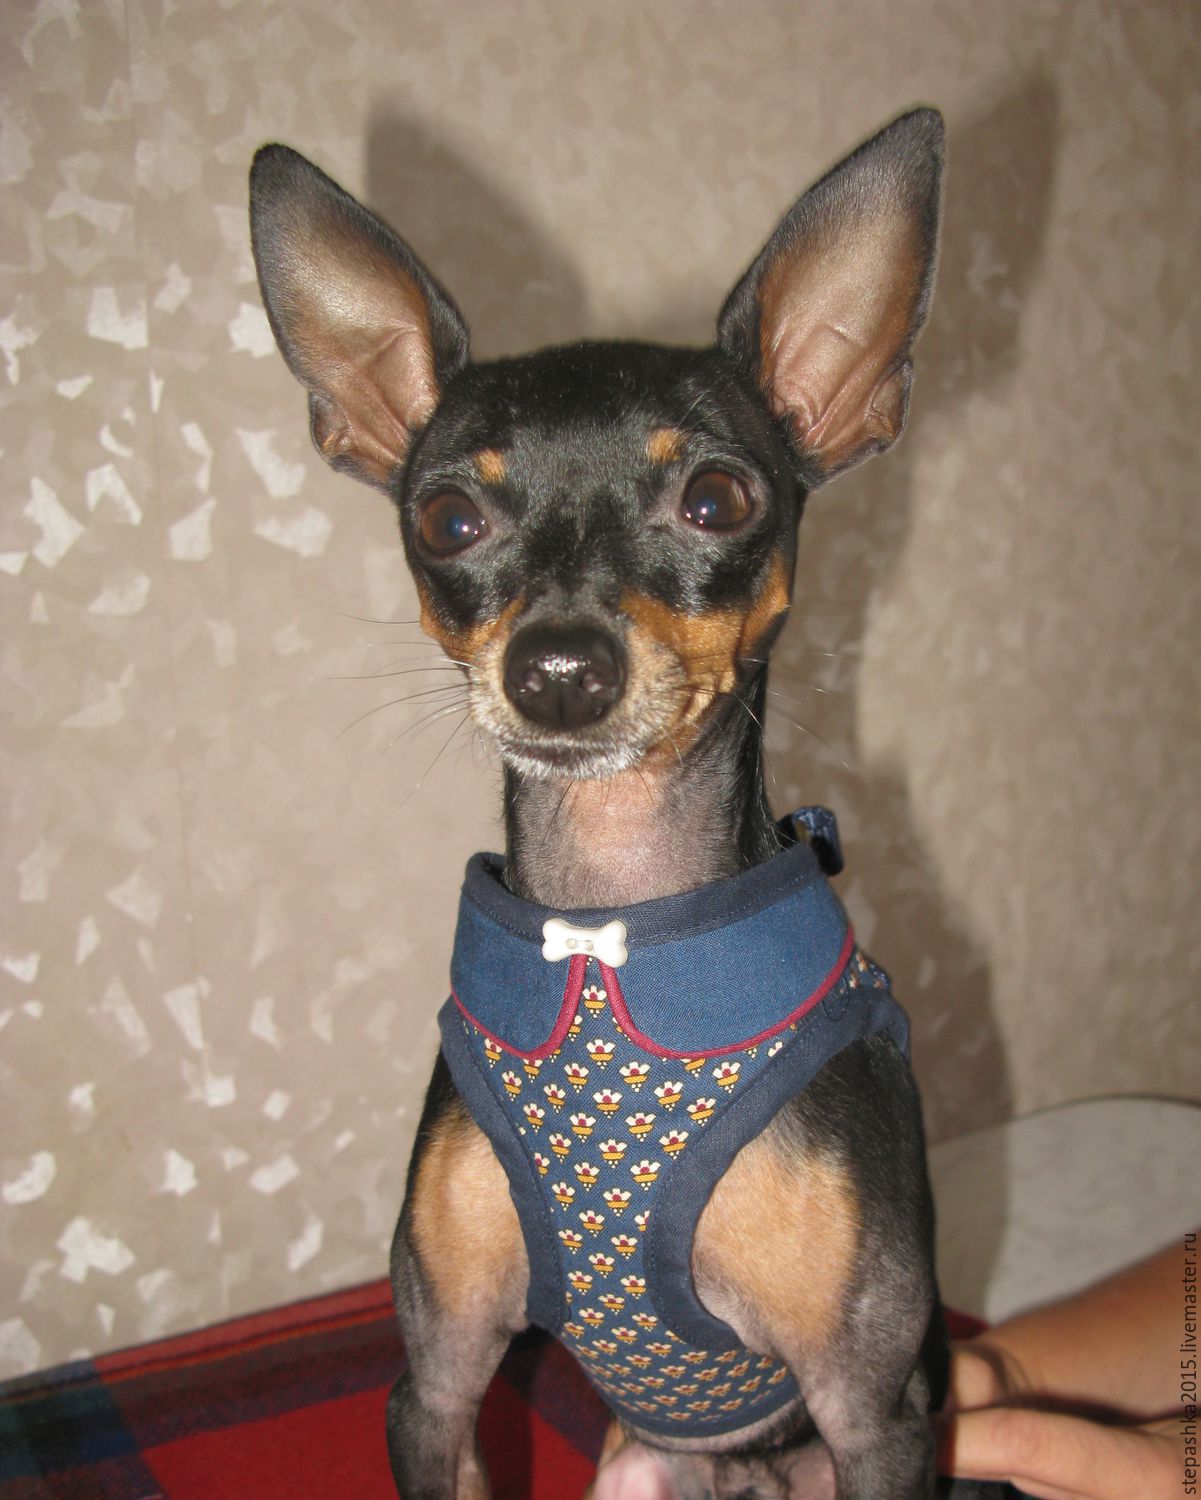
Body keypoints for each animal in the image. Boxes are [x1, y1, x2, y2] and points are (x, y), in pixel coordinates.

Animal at [250, 110, 1005, 1500]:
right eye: (448, 516)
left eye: (717, 501)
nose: (558, 671)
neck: (620, 926)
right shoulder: (436, 1384)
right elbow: (440, 1400)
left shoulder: (875, 1414)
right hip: (631, 1470)